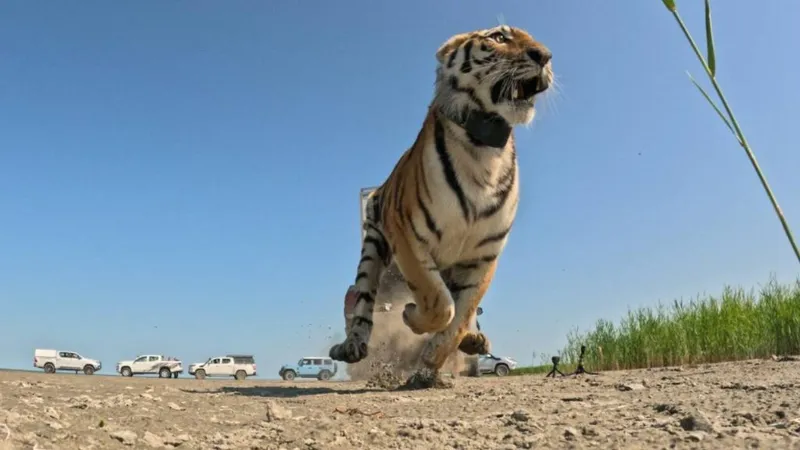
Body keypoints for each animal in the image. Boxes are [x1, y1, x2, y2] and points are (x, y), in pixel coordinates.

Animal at [329, 24, 554, 374]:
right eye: (499, 37)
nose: (544, 56)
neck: (484, 150)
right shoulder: (406, 237)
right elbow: (439, 302)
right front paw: (412, 316)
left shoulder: (485, 255)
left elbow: (462, 312)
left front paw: (437, 355)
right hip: (373, 247)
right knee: (365, 300)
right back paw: (353, 345)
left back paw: (472, 340)